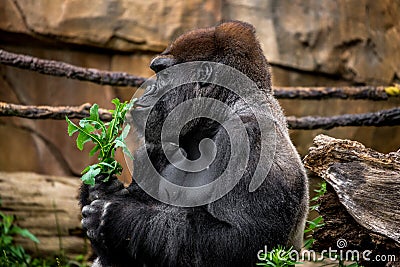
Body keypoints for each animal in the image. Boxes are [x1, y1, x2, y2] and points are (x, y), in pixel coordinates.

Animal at [79, 21, 308, 267]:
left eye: (162, 72)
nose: (147, 89)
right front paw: (99, 188)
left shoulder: (250, 135)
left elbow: (240, 240)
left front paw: (117, 220)